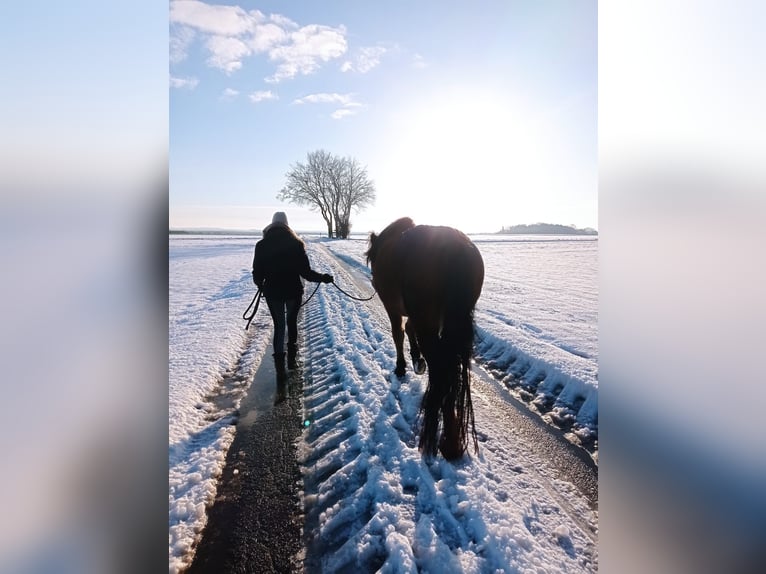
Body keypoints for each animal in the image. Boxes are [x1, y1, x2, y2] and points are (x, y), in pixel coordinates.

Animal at [368, 218, 486, 462]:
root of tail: (456, 248)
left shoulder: (393, 307)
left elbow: (397, 332)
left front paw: (402, 366)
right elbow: (408, 329)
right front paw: (416, 359)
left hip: (428, 321)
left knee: (442, 371)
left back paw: (448, 443)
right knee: (451, 372)